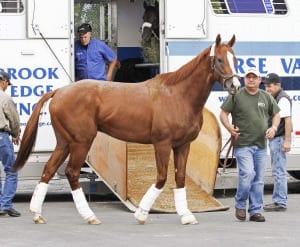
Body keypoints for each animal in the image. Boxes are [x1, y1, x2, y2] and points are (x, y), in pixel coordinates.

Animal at [12, 34, 240, 226]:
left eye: (235, 58)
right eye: (220, 60)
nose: (235, 85)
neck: (177, 95)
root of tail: (60, 91)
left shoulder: (182, 145)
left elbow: (180, 178)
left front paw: (186, 215)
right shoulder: (162, 144)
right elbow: (162, 177)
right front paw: (141, 214)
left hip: (64, 142)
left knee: (48, 170)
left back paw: (37, 213)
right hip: (81, 142)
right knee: (72, 173)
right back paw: (89, 216)